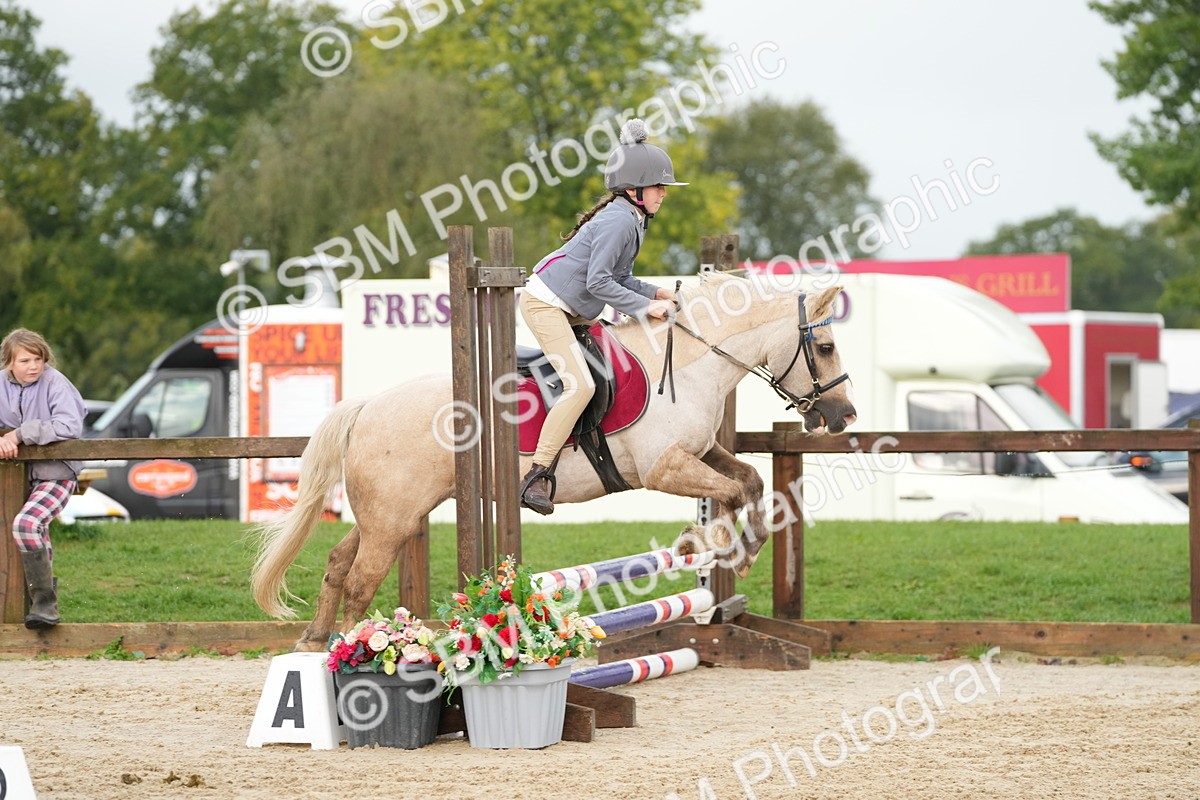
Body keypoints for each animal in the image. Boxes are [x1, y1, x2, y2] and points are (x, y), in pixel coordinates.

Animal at [252, 271, 857, 650]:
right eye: (825, 348)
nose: (844, 415)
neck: (689, 363)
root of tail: (369, 405)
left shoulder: (701, 451)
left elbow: (748, 481)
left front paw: (731, 546)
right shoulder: (663, 469)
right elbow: (729, 494)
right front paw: (713, 543)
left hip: (391, 514)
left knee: (338, 563)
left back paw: (313, 640)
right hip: (393, 518)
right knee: (360, 580)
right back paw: (348, 659)